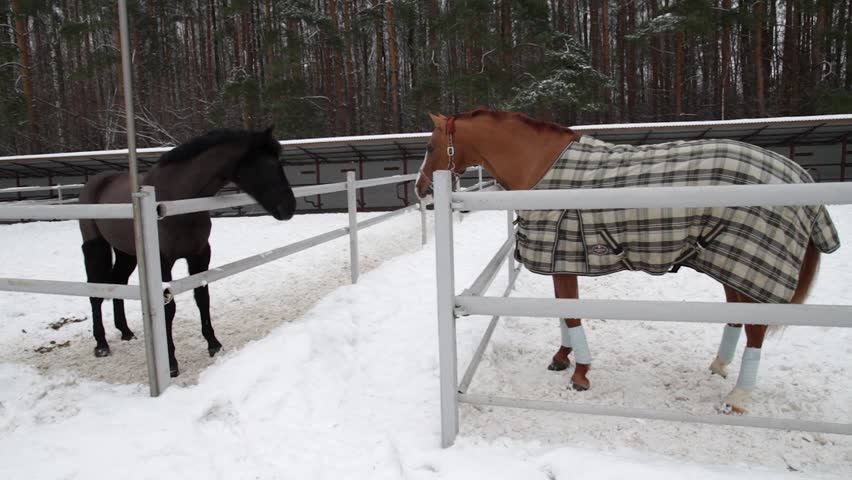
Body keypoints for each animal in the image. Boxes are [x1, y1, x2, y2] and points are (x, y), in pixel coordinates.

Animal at [78, 126, 297, 377]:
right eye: (269, 164)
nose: (289, 208)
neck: (177, 197)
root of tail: (95, 182)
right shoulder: (163, 263)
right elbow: (169, 309)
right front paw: (171, 362)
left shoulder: (200, 254)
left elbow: (202, 298)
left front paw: (214, 344)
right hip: (96, 248)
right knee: (95, 292)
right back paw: (101, 345)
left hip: (127, 253)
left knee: (117, 282)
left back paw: (125, 331)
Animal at [415, 108, 840, 413]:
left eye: (431, 147)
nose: (421, 191)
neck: (540, 167)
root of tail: (797, 175)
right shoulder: (562, 261)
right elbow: (563, 310)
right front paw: (562, 358)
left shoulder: (563, 256)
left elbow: (571, 314)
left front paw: (581, 373)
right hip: (733, 265)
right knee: (739, 317)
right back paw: (719, 367)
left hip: (752, 265)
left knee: (756, 329)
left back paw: (737, 398)